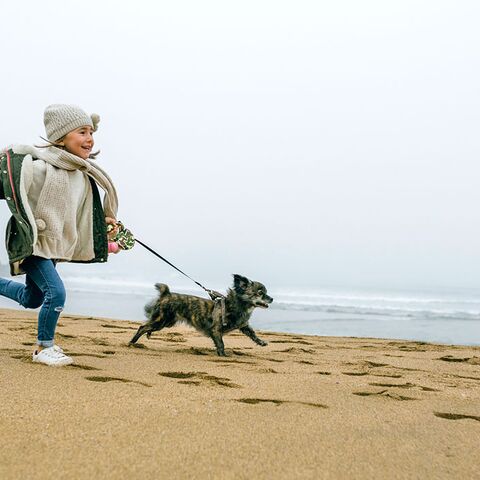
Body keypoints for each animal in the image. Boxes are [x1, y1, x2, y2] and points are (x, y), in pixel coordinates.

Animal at [128, 274, 274, 356]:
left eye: (266, 292)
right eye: (260, 293)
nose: (272, 298)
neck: (237, 304)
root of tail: (166, 294)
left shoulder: (243, 325)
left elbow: (252, 333)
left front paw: (261, 342)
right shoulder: (216, 330)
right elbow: (221, 344)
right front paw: (223, 355)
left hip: (166, 322)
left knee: (147, 327)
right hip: (162, 320)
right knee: (142, 327)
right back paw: (132, 343)